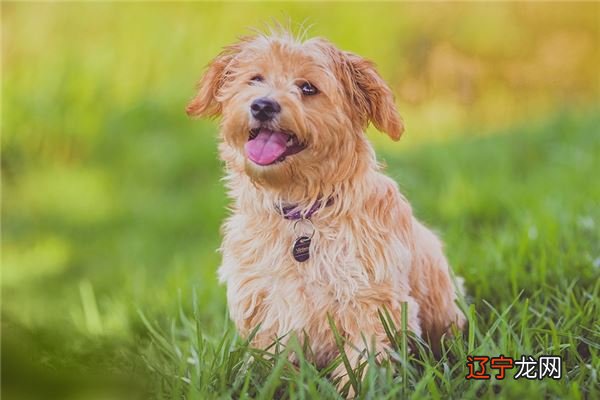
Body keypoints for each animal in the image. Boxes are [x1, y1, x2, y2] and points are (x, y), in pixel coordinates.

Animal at [185, 28, 466, 382]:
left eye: (308, 88)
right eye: (255, 78)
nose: (262, 105)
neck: (301, 211)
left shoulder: (369, 301)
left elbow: (362, 363)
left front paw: (359, 387)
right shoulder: (263, 307)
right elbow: (267, 365)